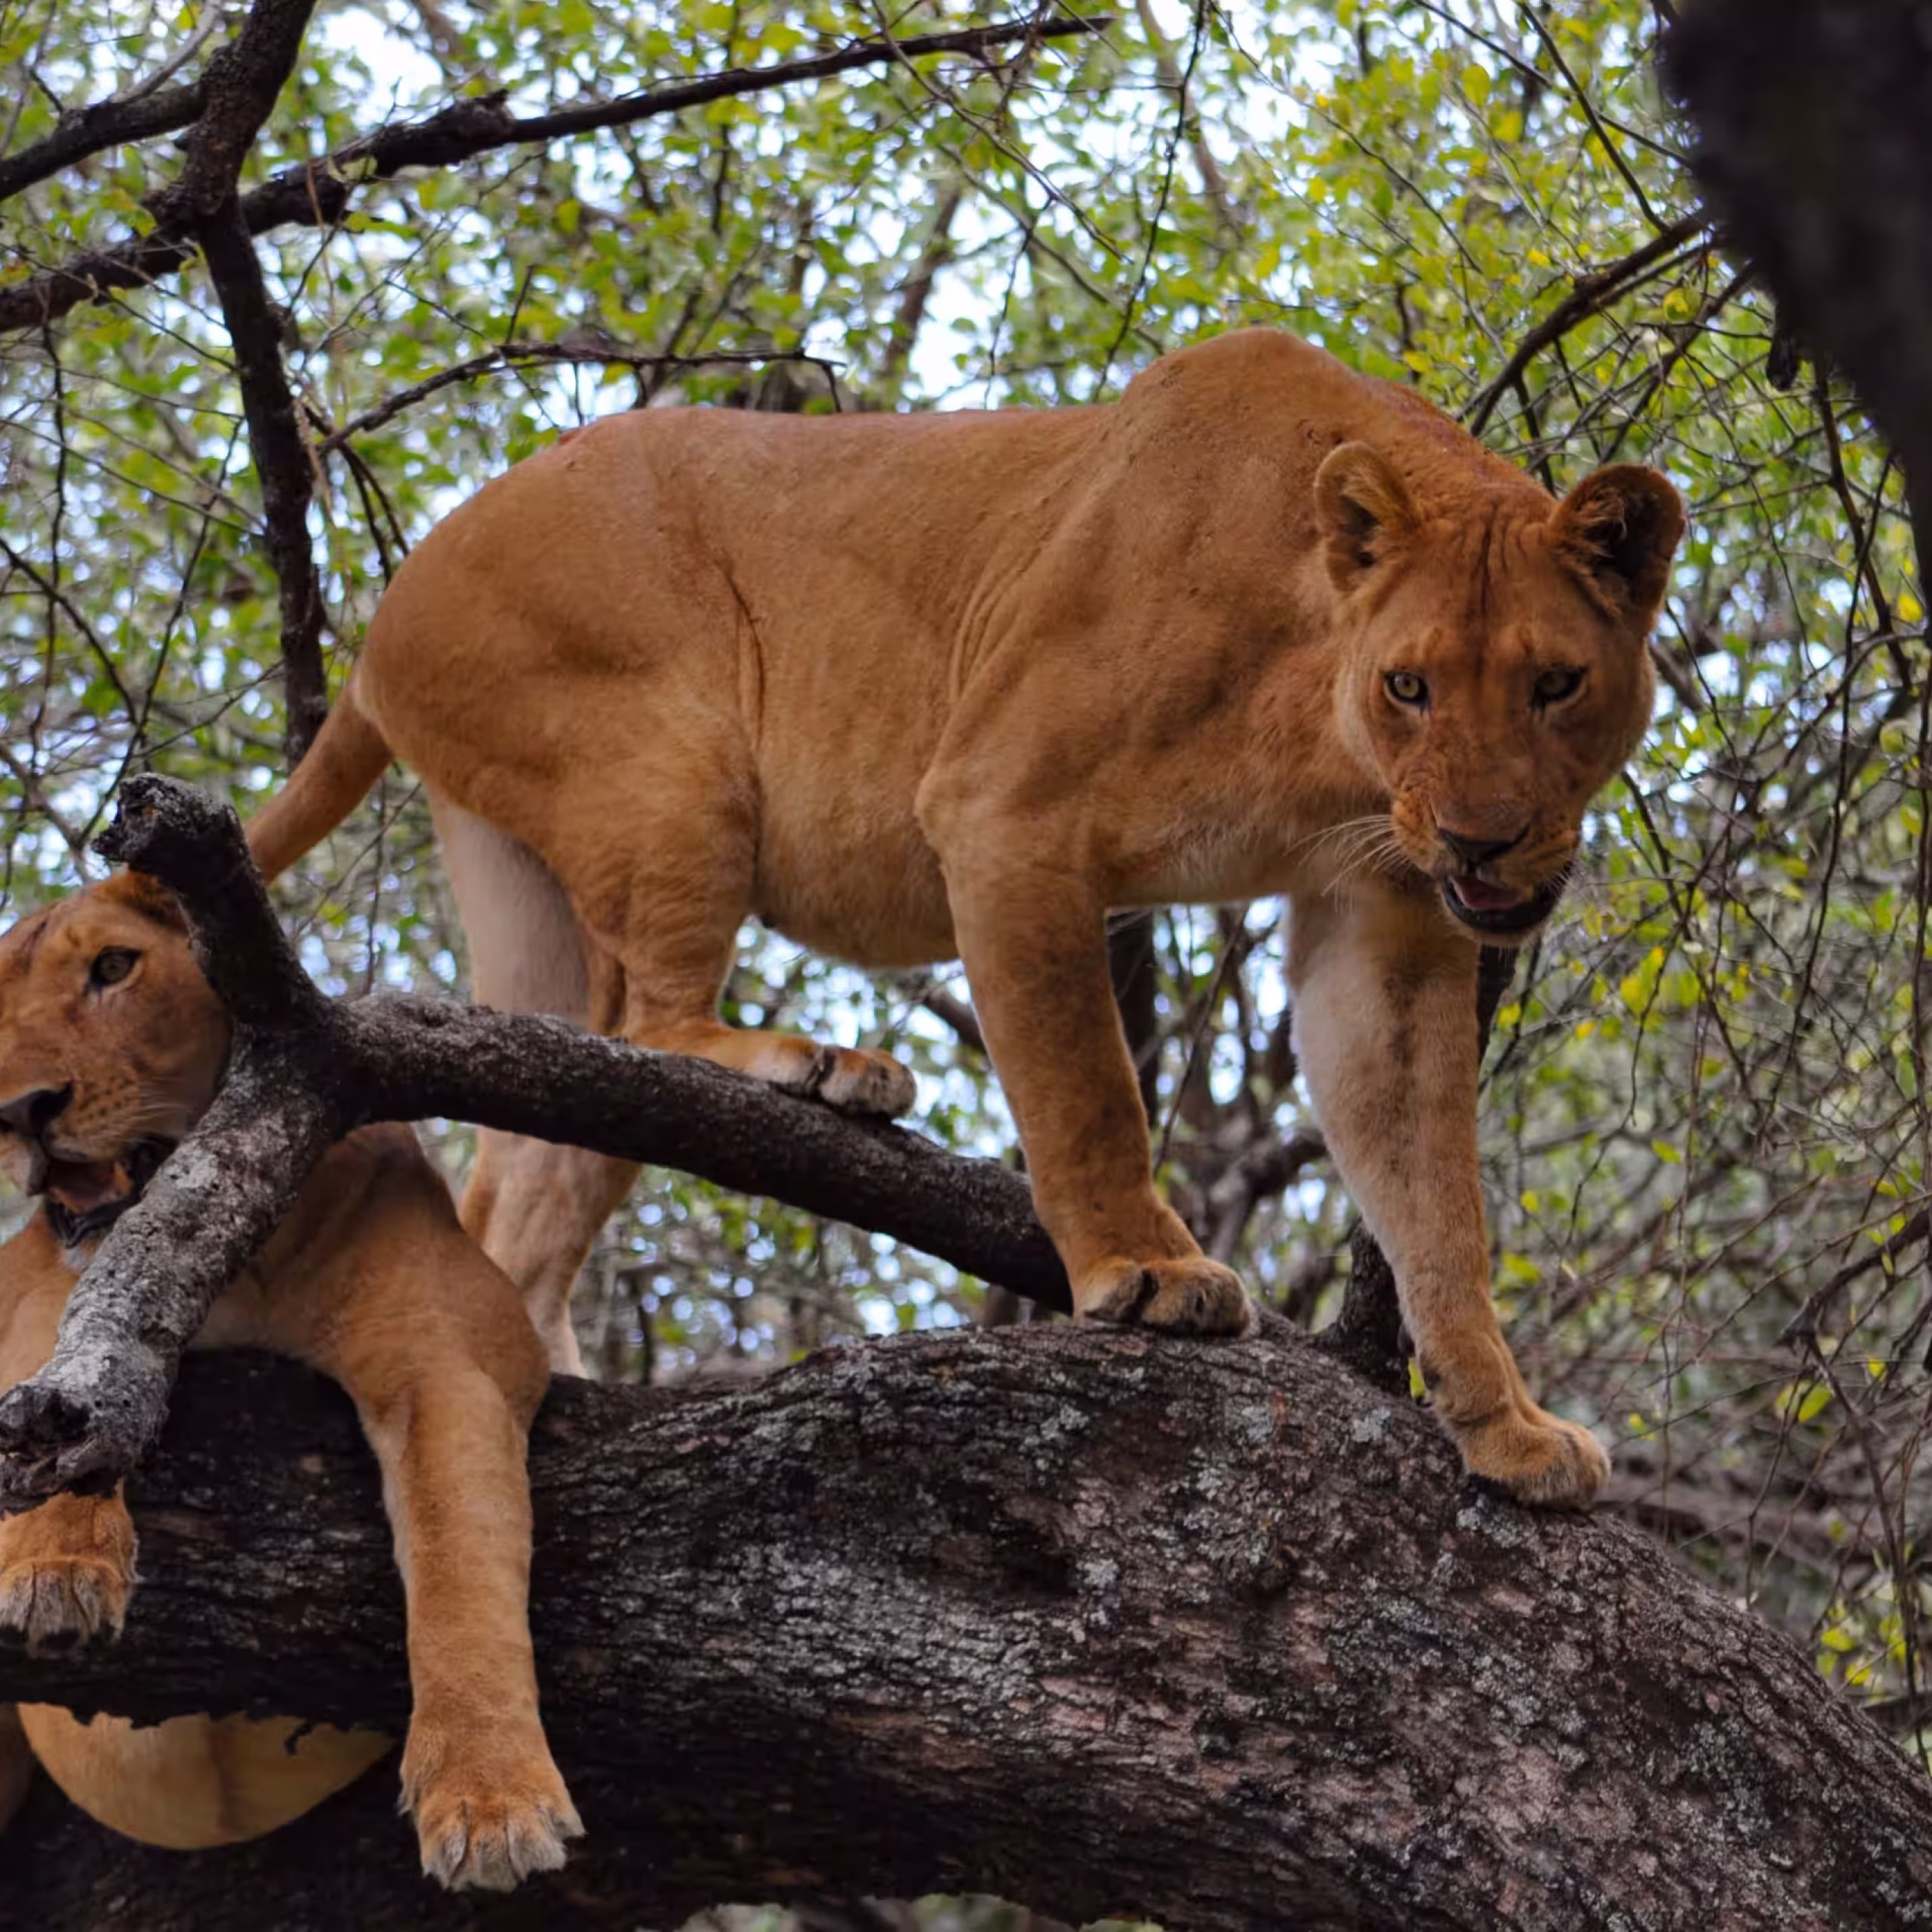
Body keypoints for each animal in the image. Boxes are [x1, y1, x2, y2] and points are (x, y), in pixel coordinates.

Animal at [0, 871, 579, 1888]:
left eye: (113, 967)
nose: (20, 1111)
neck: (240, 1264)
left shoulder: (452, 1359)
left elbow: (460, 1570)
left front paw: (490, 1800)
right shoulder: (36, 1294)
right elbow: (62, 1389)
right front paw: (57, 1570)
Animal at [246, 327, 1682, 1509]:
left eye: (1556, 685)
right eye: (1411, 686)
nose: (1483, 839)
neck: (1320, 724)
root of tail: (386, 613)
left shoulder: (1383, 916)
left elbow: (1435, 1194)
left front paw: (1505, 1425)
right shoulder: (1005, 809)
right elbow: (1086, 1086)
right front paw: (1146, 1274)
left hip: (534, 888)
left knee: (539, 1147)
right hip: (669, 759)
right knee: (653, 1024)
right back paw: (817, 1065)